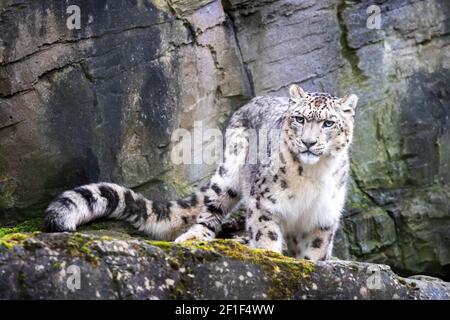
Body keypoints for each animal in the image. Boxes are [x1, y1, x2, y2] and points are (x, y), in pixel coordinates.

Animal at [44, 84, 356, 260]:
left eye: (328, 123)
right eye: (300, 119)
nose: (309, 142)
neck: (312, 176)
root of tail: (252, 101)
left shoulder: (323, 217)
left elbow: (314, 252)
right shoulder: (263, 202)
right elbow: (265, 233)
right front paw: (270, 257)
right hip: (228, 174)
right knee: (210, 210)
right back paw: (194, 238)